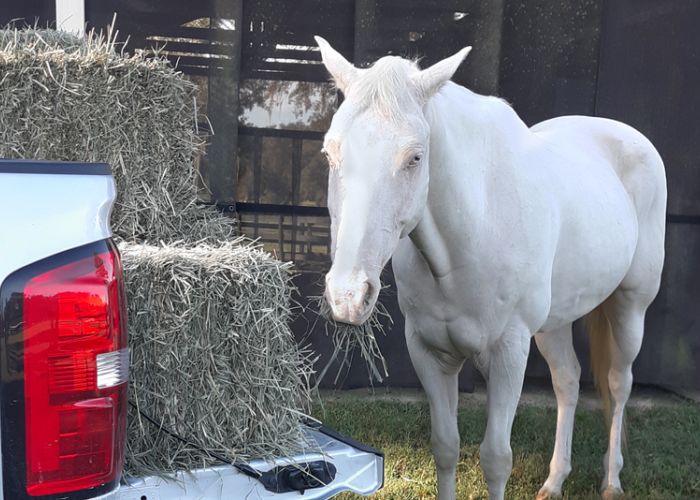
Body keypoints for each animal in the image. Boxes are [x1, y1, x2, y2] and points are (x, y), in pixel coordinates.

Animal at [318, 36, 668, 500]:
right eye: (330, 152)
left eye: (415, 157)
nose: (348, 297)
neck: (471, 234)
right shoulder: (429, 352)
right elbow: (445, 446)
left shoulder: (508, 355)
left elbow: (496, 458)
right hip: (554, 323)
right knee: (568, 381)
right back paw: (554, 481)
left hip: (630, 307)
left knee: (617, 383)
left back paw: (612, 481)